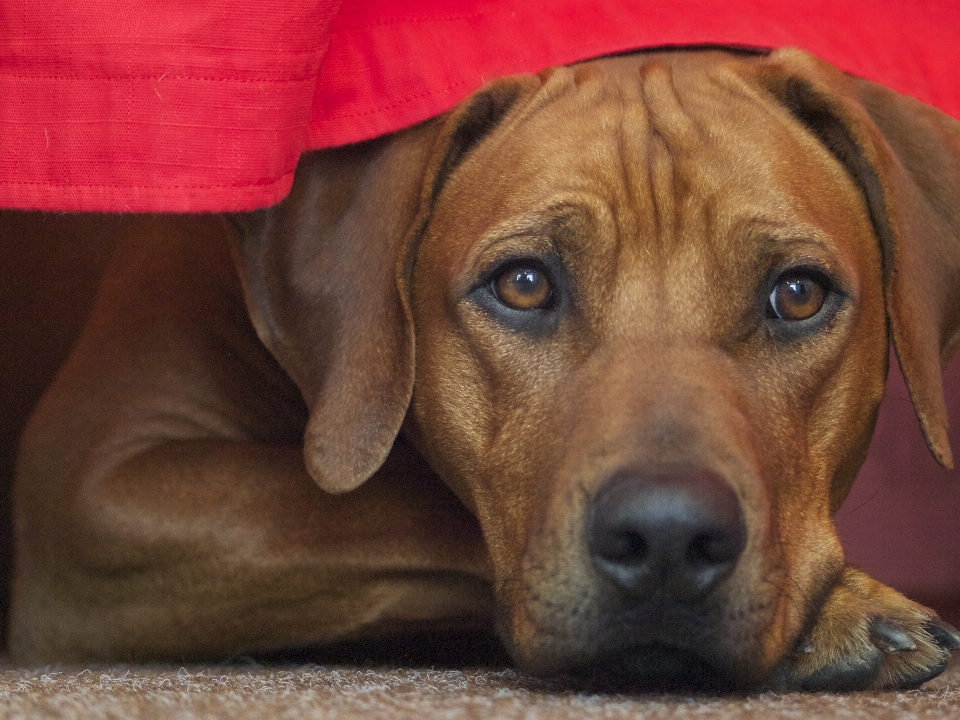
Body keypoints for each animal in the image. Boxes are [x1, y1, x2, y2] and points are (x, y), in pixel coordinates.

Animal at [7, 46, 960, 692]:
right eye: (524, 284)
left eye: (797, 295)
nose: (667, 538)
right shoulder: (92, 491)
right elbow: (399, 508)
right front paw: (845, 609)